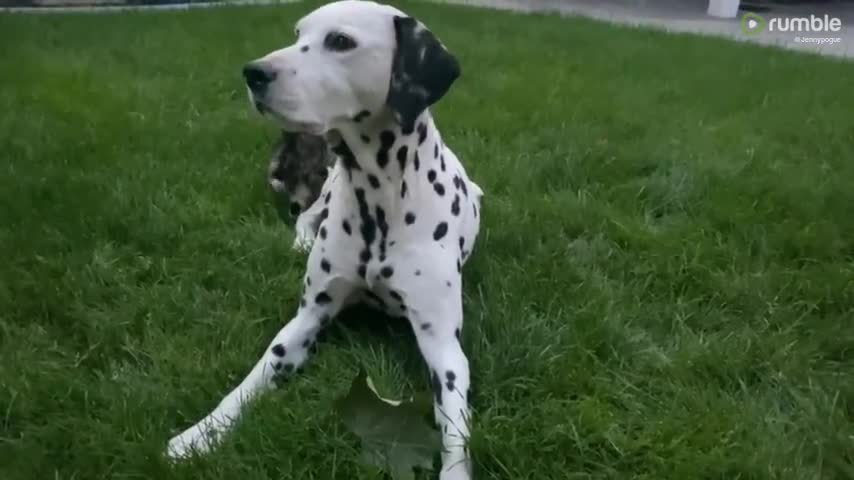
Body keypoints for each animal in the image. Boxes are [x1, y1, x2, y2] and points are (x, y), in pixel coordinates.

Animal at [165, 1, 484, 478]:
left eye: (340, 41)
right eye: (298, 34)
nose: (253, 73)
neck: (379, 203)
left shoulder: (444, 349)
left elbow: (454, 432)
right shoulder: (307, 319)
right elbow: (250, 381)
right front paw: (201, 434)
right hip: (326, 187)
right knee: (305, 214)